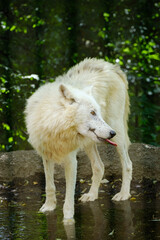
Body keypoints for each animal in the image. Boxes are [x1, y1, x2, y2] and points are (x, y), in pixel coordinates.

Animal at [24, 58, 132, 223]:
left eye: (98, 112)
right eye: (92, 113)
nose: (111, 133)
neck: (54, 124)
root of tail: (110, 66)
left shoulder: (71, 160)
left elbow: (69, 193)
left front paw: (68, 218)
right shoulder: (46, 155)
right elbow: (50, 185)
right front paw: (48, 207)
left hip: (118, 132)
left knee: (127, 164)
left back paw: (124, 194)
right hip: (90, 142)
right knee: (99, 166)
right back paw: (92, 195)